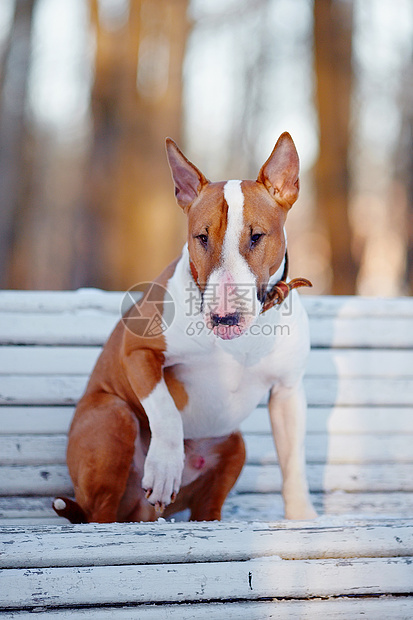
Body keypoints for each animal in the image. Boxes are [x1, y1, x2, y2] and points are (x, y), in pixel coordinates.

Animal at [54, 132, 316, 524]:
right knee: (100, 512)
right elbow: (164, 409)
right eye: (201, 237)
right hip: (113, 416)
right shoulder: (137, 351)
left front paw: (303, 515)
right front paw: (164, 469)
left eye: (256, 236)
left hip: (235, 445)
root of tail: (140, 513)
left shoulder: (288, 390)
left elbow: (294, 460)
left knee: (208, 508)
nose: (224, 318)